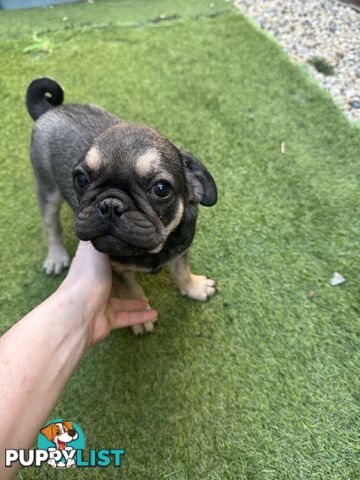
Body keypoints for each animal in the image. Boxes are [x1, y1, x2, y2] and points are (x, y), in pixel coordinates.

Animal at [26, 78, 217, 334]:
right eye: (81, 179)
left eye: (161, 189)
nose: (110, 204)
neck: (152, 251)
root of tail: (50, 110)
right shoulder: (116, 269)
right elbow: (132, 292)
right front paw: (140, 316)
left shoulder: (181, 248)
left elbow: (181, 272)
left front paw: (194, 286)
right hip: (48, 189)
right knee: (51, 224)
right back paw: (56, 256)